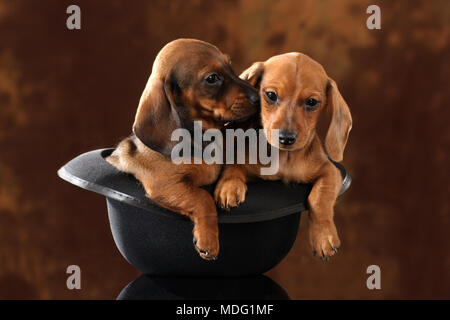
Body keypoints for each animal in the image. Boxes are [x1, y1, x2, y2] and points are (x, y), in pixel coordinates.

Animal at [107, 39, 258, 260]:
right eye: (212, 78)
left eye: (230, 64)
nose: (258, 97)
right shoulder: (165, 184)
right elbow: (202, 197)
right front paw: (208, 240)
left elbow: (234, 164)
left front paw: (230, 188)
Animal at [214, 52, 352, 260]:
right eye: (271, 95)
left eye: (312, 102)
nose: (286, 138)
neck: (284, 159)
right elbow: (233, 167)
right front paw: (229, 187)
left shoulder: (330, 171)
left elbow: (319, 197)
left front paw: (323, 236)